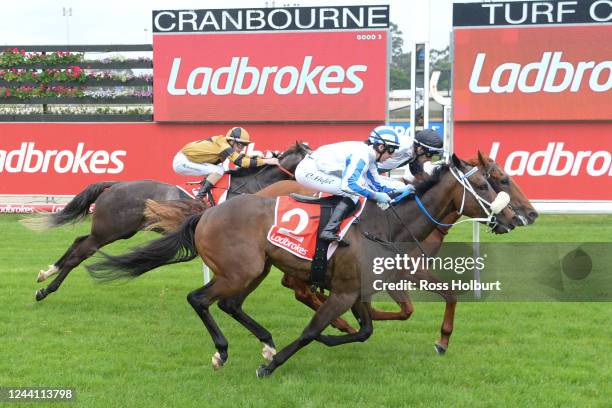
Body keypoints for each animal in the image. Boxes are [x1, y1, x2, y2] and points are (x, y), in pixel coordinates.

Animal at [22, 142, 310, 302]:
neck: (252, 186)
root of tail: (116, 184)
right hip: (110, 230)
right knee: (82, 251)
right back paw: (46, 288)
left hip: (116, 231)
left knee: (78, 243)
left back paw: (47, 274)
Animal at [87, 155, 516, 376]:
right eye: (489, 183)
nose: (513, 217)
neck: (387, 226)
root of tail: (204, 214)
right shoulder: (344, 291)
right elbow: (313, 330)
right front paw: (276, 364)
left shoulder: (356, 289)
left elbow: (365, 330)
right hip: (240, 270)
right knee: (200, 299)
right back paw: (225, 351)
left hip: (255, 269)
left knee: (228, 304)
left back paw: (264, 342)